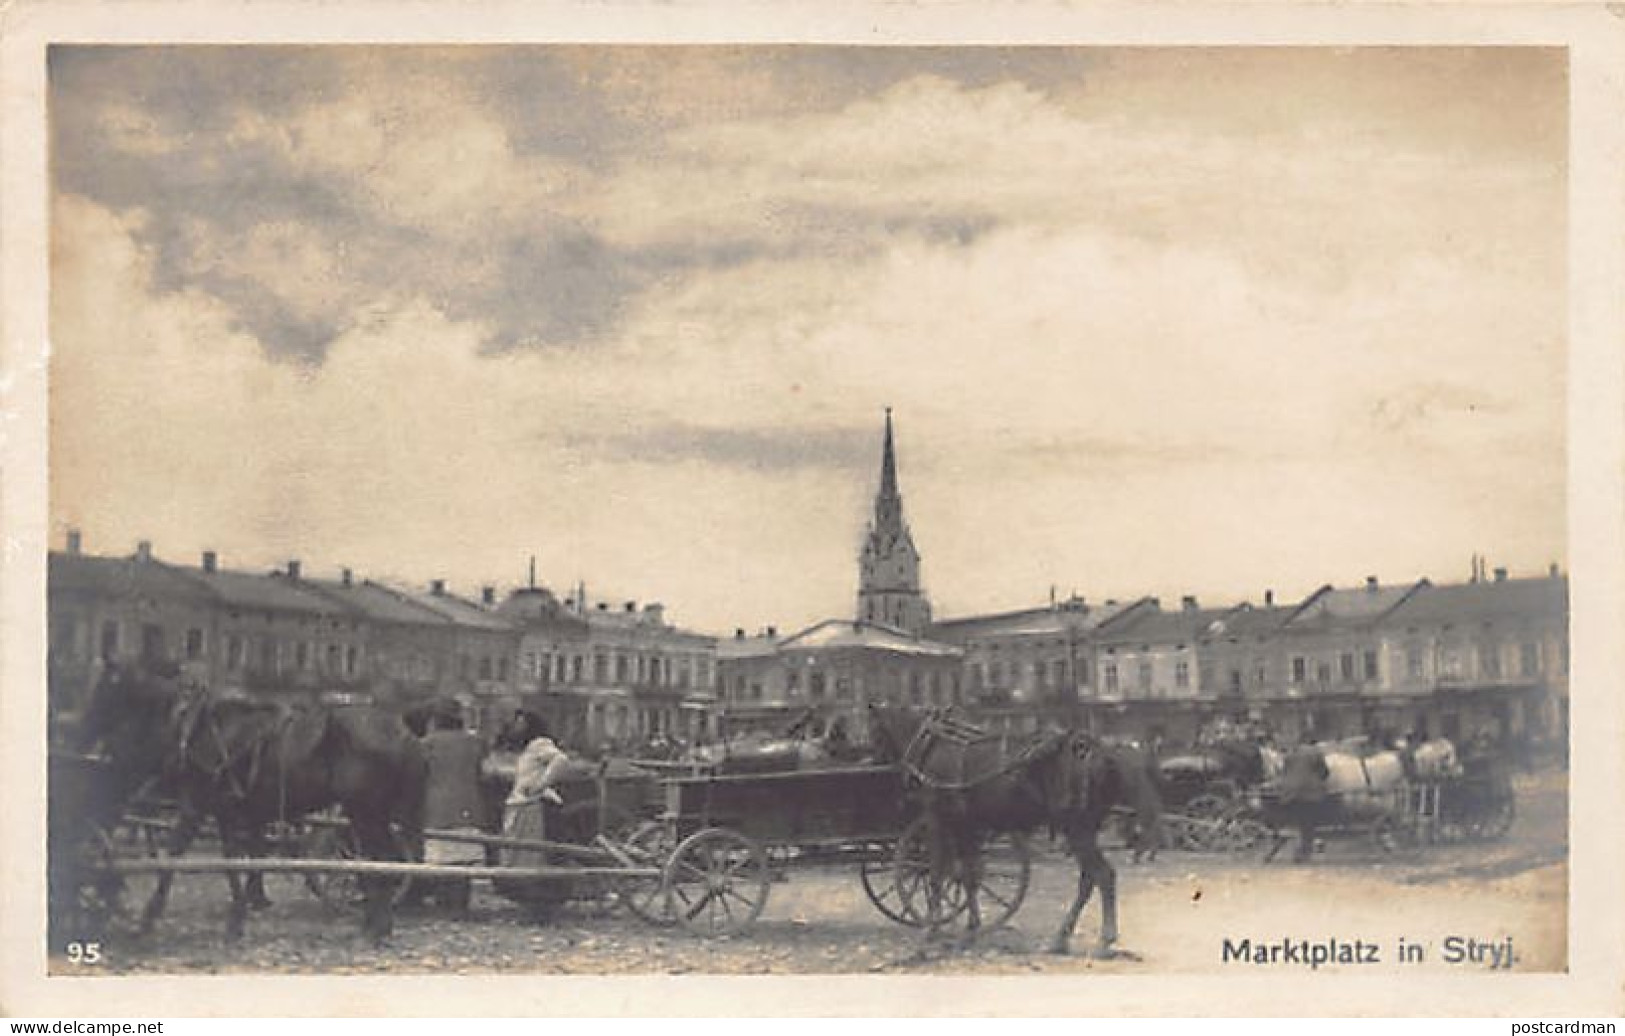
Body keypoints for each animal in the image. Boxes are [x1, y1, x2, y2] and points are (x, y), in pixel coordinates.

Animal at [76, 665, 429, 948]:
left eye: (102, 693)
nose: (81, 736)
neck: (201, 728)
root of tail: (403, 731)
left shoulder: (196, 808)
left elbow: (175, 855)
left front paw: (148, 919)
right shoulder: (229, 813)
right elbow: (235, 862)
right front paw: (238, 919)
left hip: (366, 812)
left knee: (382, 861)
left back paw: (377, 928)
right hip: (367, 815)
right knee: (375, 863)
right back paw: (373, 924)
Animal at [871, 701, 1163, 961]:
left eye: (874, 734)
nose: (873, 764)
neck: (934, 744)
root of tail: (1100, 750)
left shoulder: (938, 821)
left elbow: (937, 876)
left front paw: (929, 933)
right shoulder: (967, 827)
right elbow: (968, 876)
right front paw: (970, 931)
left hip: (1076, 828)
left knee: (1103, 875)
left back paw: (1104, 940)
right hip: (1083, 830)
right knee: (1088, 879)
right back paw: (1060, 939)